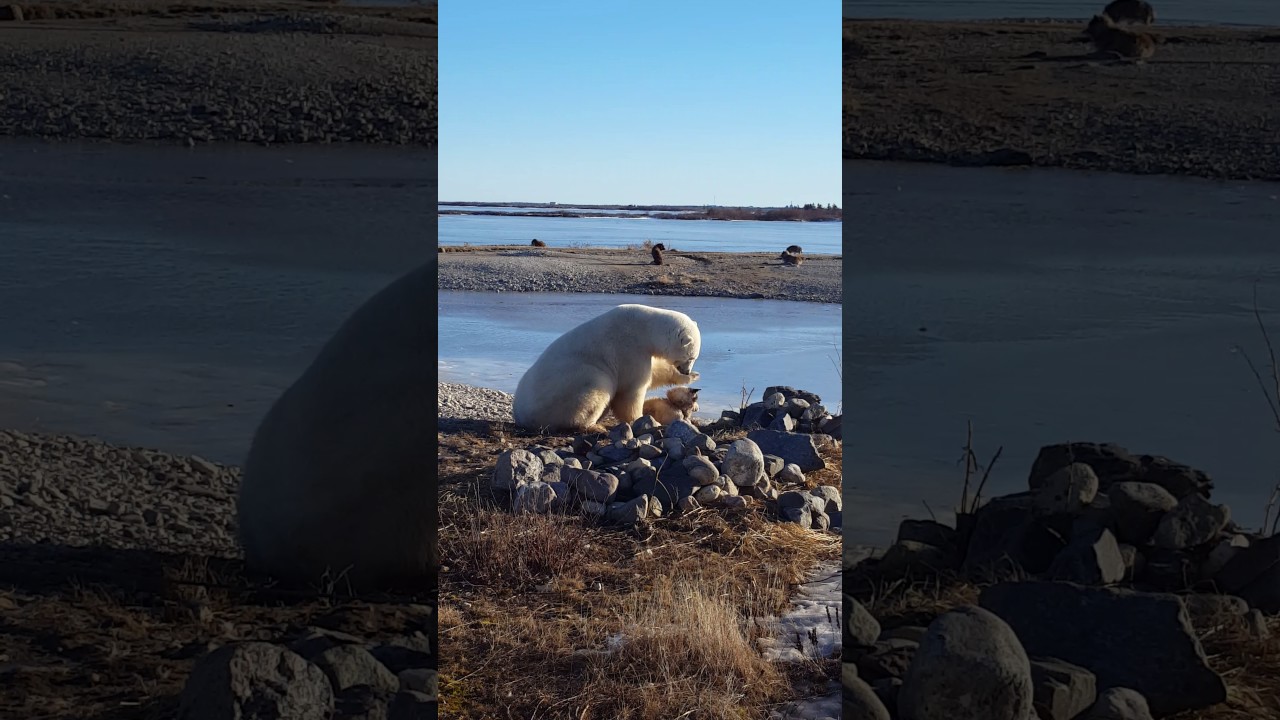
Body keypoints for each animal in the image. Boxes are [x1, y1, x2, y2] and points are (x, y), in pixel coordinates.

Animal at [514, 302, 706, 430]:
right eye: (691, 357)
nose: (687, 369)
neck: (644, 327)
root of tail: (520, 415)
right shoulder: (629, 348)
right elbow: (632, 388)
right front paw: (642, 419)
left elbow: (656, 372)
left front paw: (692, 376)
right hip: (570, 386)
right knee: (596, 387)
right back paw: (593, 426)